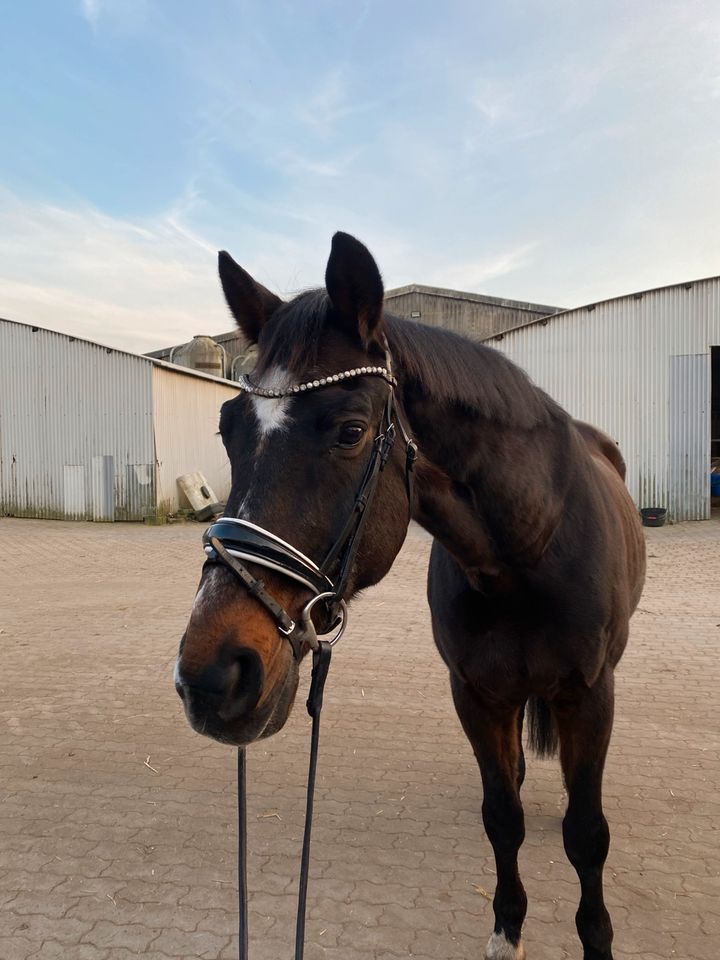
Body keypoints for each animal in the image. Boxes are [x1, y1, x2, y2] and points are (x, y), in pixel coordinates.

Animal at [176, 231, 648, 960]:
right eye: (230, 428)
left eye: (350, 430)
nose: (212, 675)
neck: (529, 552)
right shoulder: (476, 694)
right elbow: (501, 818)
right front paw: (507, 928)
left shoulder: (590, 695)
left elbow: (586, 834)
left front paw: (595, 938)